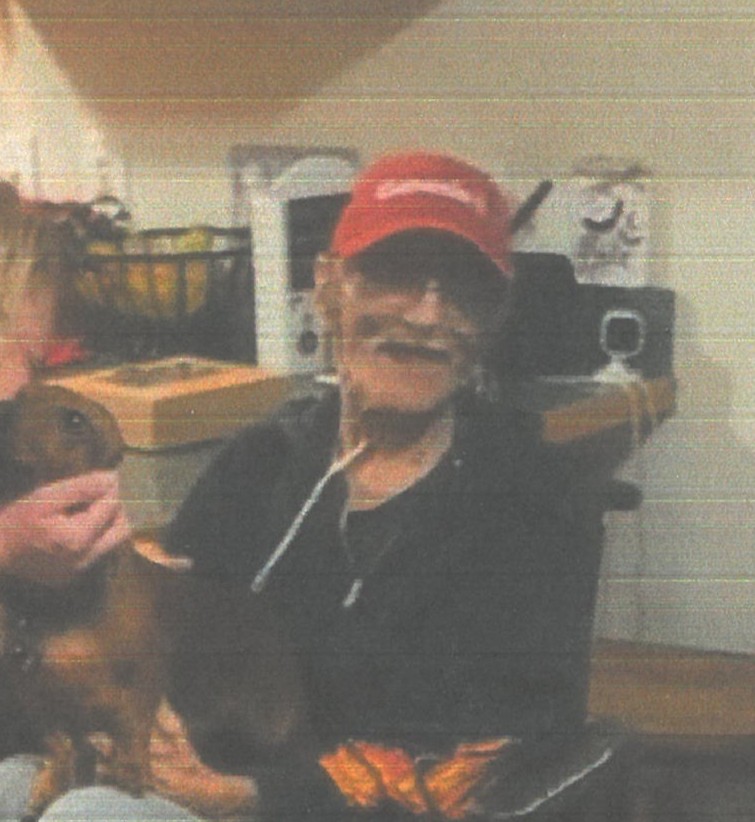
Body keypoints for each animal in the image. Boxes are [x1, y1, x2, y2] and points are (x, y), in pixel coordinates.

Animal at [0, 383, 306, 820]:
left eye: (75, 419)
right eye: (17, 396)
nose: (1, 413)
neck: (56, 600)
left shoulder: (143, 678)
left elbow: (132, 722)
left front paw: (128, 766)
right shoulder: (35, 699)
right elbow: (57, 742)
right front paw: (49, 780)